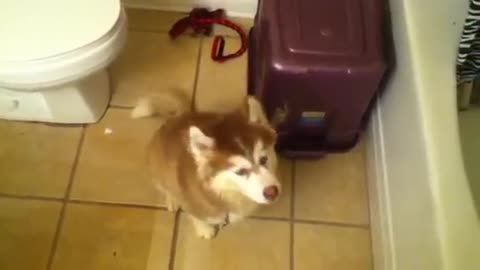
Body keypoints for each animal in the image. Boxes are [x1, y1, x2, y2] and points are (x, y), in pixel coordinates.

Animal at [131, 94, 282, 238]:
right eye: (240, 171)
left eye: (263, 159)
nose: (272, 192)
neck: (222, 192)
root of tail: (176, 117)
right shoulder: (191, 204)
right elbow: (196, 217)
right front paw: (204, 229)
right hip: (156, 170)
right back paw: (172, 199)